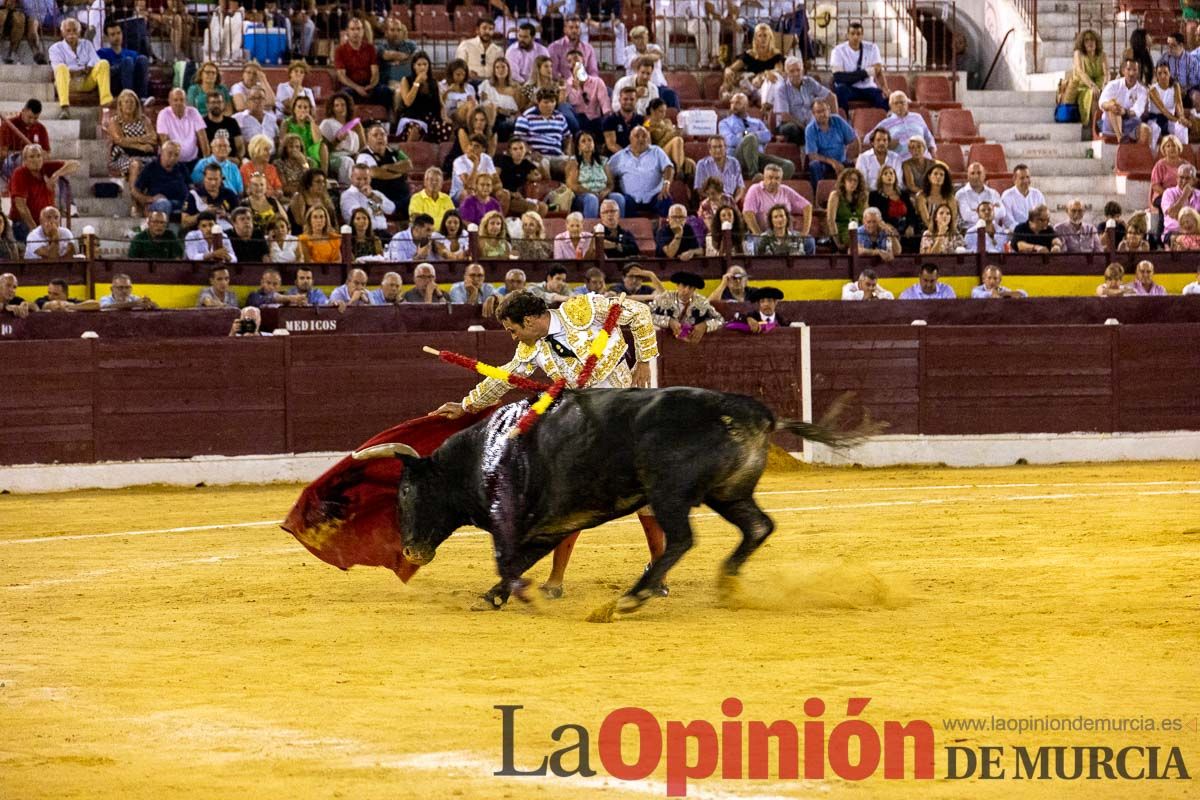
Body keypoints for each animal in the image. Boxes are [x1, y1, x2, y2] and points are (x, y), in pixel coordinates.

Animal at [352, 383, 864, 609]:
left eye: (407, 490)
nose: (409, 551)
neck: (482, 453)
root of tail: (752, 412)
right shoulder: (548, 525)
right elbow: (522, 559)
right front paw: (496, 596)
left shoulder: (511, 521)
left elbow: (507, 559)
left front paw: (503, 595)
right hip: (728, 492)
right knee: (757, 526)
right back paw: (726, 583)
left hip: (669, 490)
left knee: (681, 539)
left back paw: (634, 596)